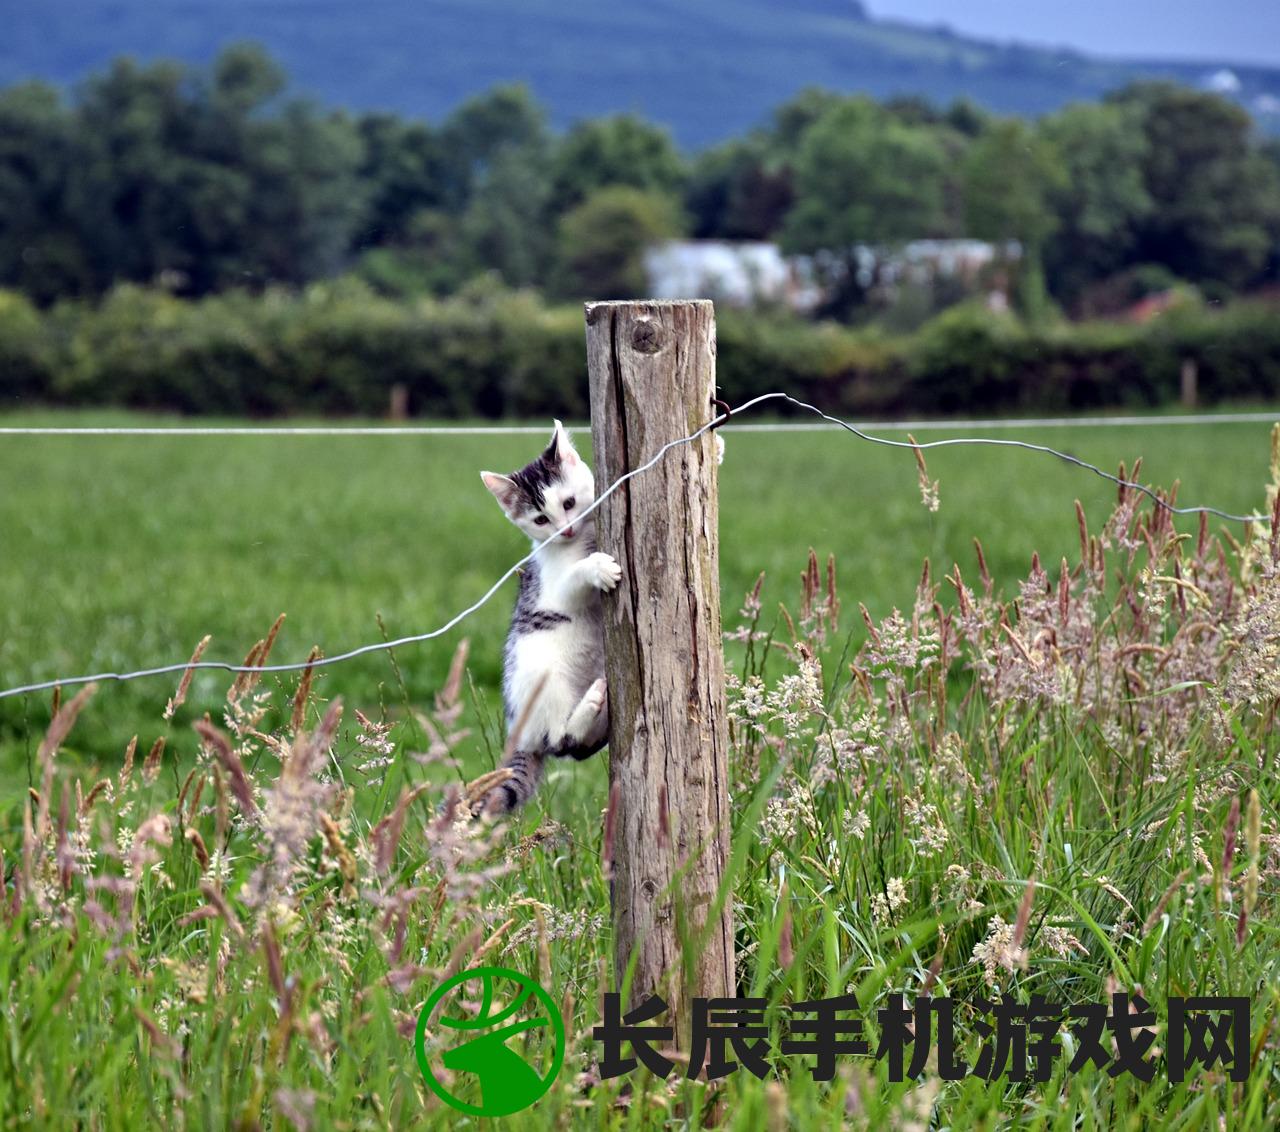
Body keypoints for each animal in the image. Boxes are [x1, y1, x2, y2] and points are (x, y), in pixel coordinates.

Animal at [478, 417, 622, 814]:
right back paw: (589, 706)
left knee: (578, 749)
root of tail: (519, 735)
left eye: (569, 503)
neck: (584, 538)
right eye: (541, 520)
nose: (566, 529)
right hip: (544, 679)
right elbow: (573, 579)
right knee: (561, 741)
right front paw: (597, 567)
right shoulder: (554, 585)